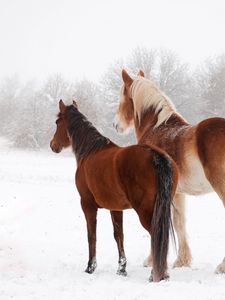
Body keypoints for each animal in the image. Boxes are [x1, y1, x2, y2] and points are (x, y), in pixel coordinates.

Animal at [50, 99, 178, 282]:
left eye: (57, 122)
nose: (53, 145)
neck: (90, 151)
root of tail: (155, 155)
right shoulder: (116, 208)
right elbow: (119, 235)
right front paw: (121, 269)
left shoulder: (87, 205)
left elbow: (91, 235)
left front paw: (90, 267)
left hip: (146, 211)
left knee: (156, 235)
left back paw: (156, 274)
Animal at [114, 68, 225, 274]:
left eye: (122, 97)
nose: (116, 125)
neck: (157, 127)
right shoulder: (178, 193)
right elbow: (179, 222)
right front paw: (182, 260)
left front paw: (151, 260)